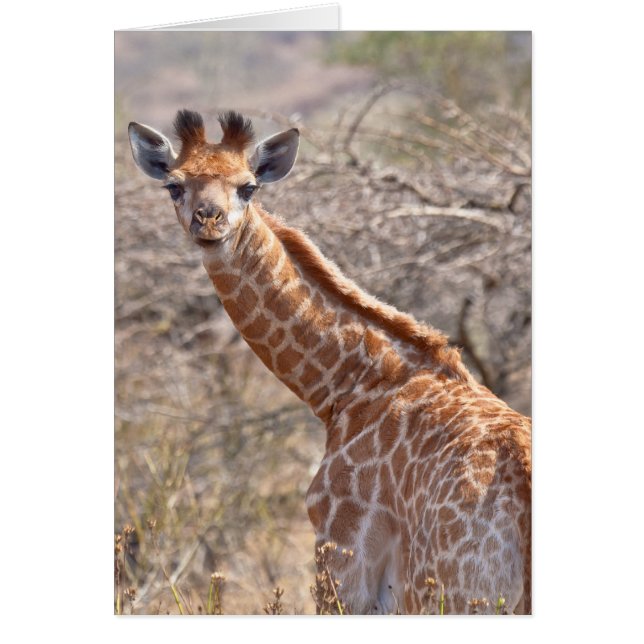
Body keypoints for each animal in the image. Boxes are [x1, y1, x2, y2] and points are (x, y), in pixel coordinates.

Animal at [128, 109, 531, 615]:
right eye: (174, 185)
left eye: (248, 187)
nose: (209, 221)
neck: (347, 384)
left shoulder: (341, 561)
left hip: (457, 597)